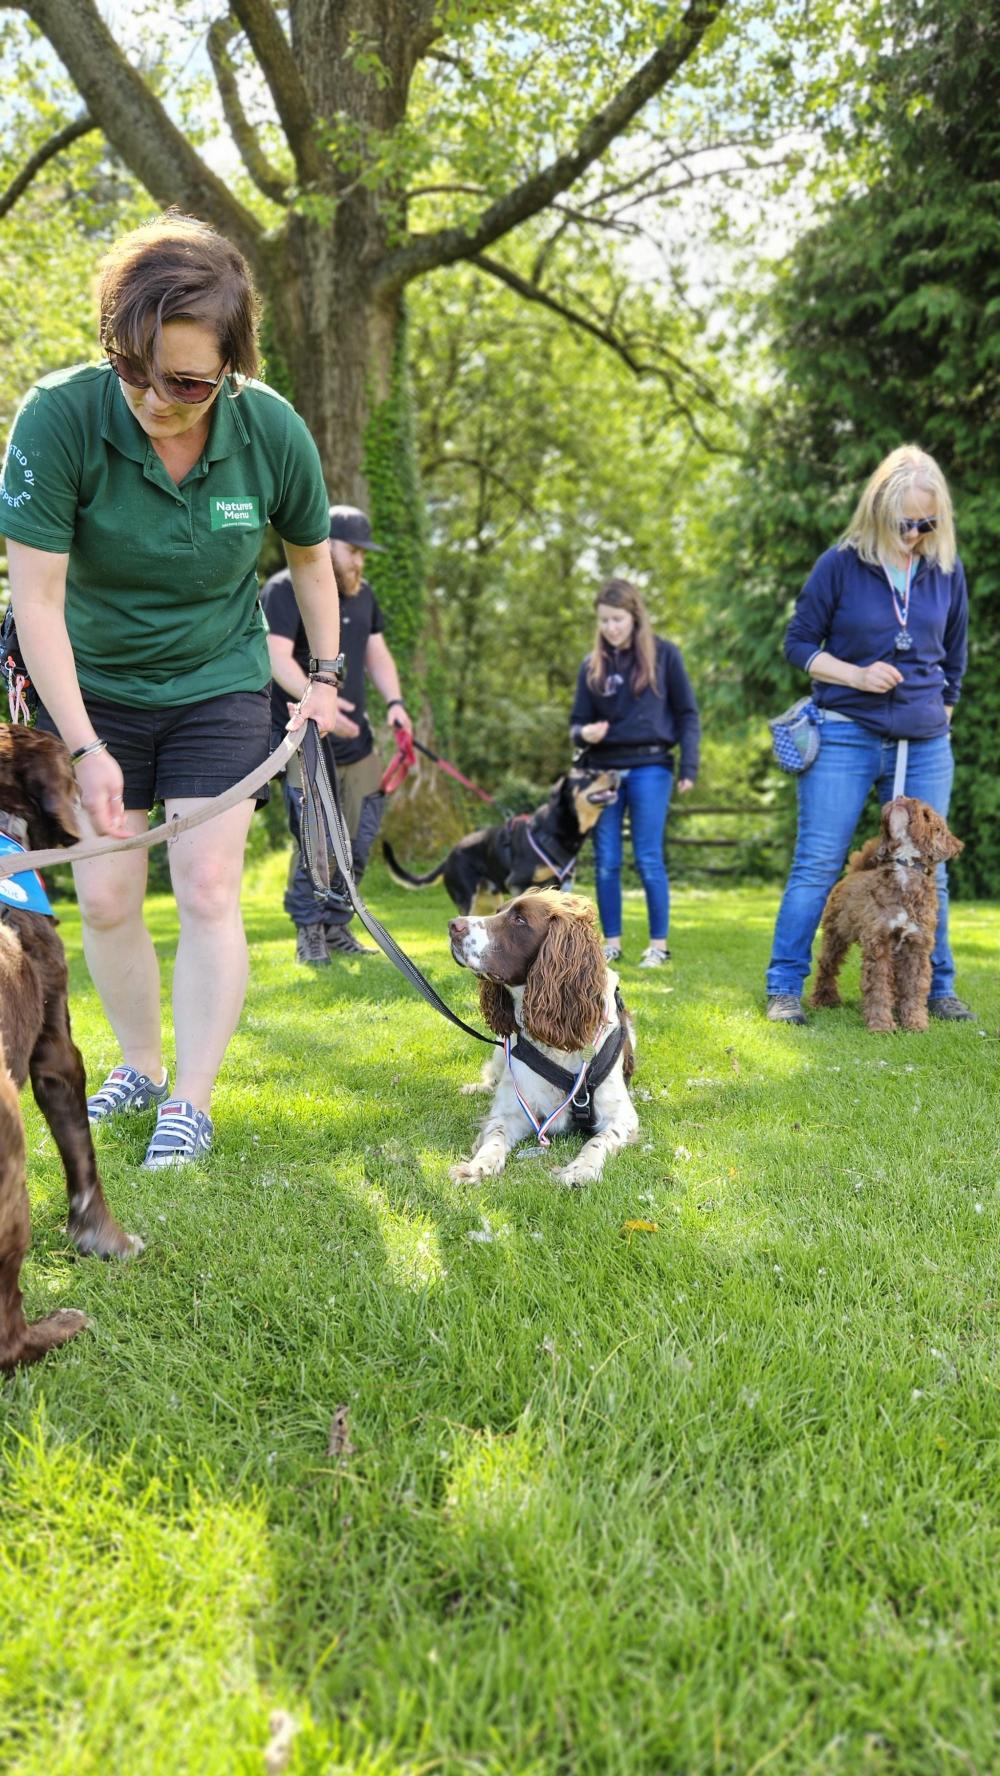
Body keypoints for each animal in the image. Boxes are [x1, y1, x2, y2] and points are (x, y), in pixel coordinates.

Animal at [381, 760, 618, 909]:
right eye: (589, 775)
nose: (616, 773)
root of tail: (449, 856)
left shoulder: (562, 888)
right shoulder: (519, 883)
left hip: (489, 901)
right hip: (467, 898)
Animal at [813, 799, 959, 1037]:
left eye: (926, 815)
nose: (901, 798)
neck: (905, 871)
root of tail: (854, 873)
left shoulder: (917, 947)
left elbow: (914, 988)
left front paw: (915, 1023)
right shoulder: (878, 943)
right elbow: (878, 987)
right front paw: (881, 1026)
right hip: (836, 936)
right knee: (827, 967)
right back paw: (823, 1000)